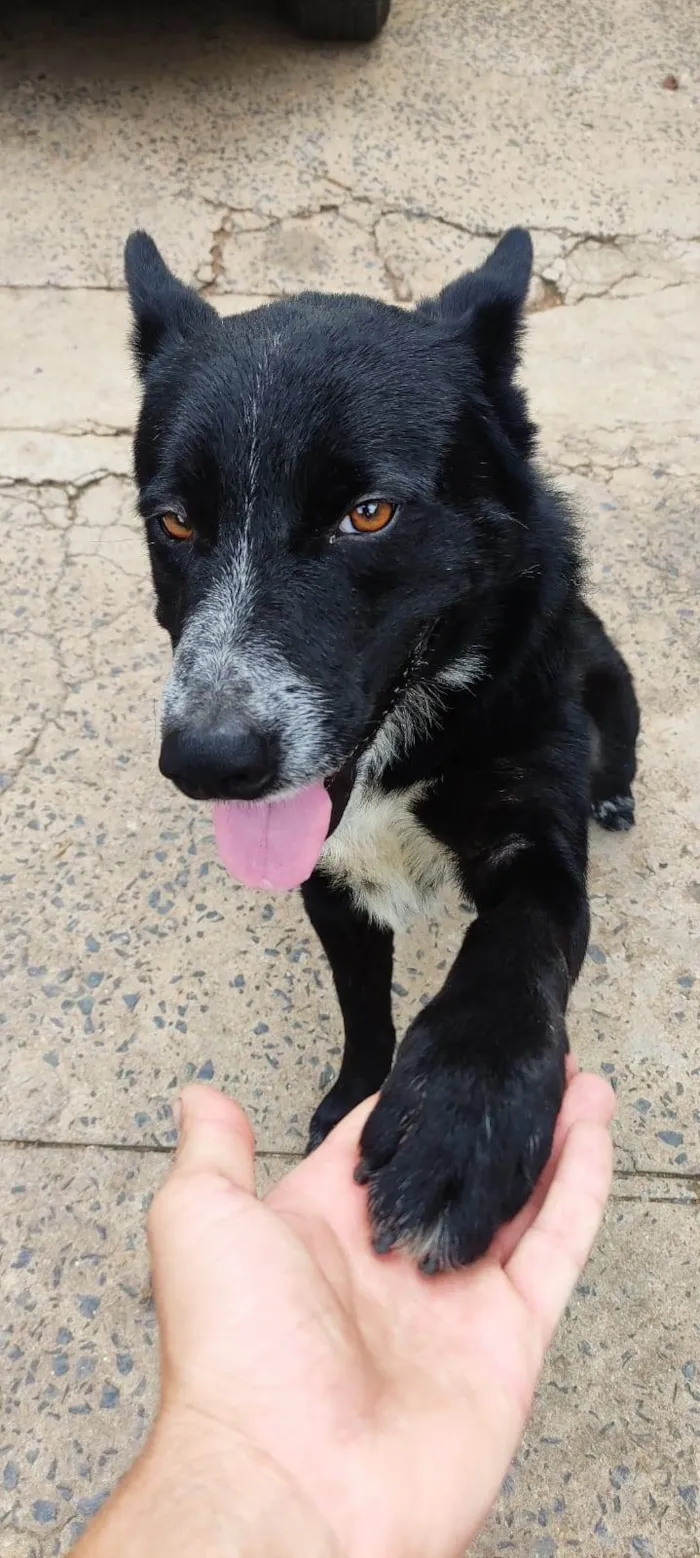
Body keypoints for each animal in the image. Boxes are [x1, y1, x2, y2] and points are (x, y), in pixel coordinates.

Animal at [125, 225, 639, 1271]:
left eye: (368, 514)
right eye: (176, 521)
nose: (208, 763)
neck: (402, 750)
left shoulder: (536, 848)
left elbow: (512, 950)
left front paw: (458, 1120)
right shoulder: (328, 886)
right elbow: (363, 1004)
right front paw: (357, 1099)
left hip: (611, 688)